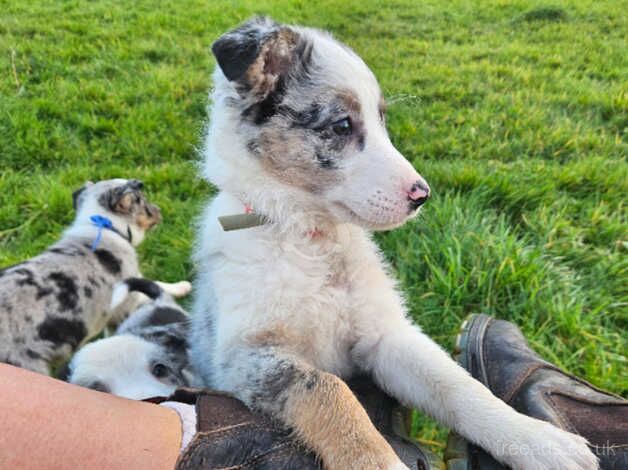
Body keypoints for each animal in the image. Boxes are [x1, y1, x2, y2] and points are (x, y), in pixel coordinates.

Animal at [0, 179, 189, 374]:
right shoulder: (124, 305)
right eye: (142, 200)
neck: (105, 226)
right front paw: (182, 286)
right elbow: (154, 285)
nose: (159, 210)